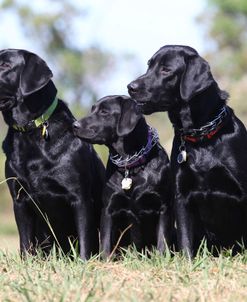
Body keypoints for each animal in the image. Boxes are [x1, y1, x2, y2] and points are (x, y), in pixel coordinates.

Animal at [0, 49, 104, 260]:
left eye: (5, 65)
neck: (30, 132)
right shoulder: (19, 199)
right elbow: (25, 244)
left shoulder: (80, 198)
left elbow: (85, 240)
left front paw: (84, 263)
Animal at [73, 95, 174, 256]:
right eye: (92, 109)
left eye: (104, 112)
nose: (74, 125)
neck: (131, 165)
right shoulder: (109, 209)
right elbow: (105, 243)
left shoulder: (163, 207)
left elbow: (162, 242)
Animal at [128, 45, 247, 258]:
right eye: (149, 65)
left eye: (166, 70)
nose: (130, 87)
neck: (201, 137)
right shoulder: (182, 196)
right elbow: (185, 240)